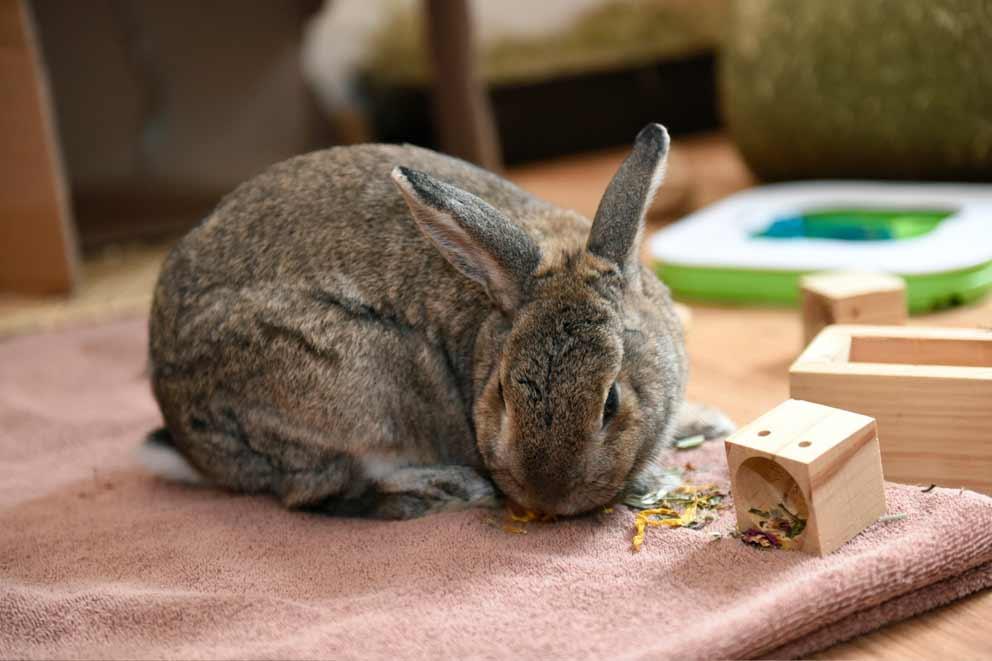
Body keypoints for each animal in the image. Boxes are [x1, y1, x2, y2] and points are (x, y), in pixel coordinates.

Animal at [140, 121, 732, 520]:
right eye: (502, 392)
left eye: (611, 402)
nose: (547, 496)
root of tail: (185, 440)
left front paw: (708, 424)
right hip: (362, 384)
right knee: (320, 492)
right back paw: (447, 488)